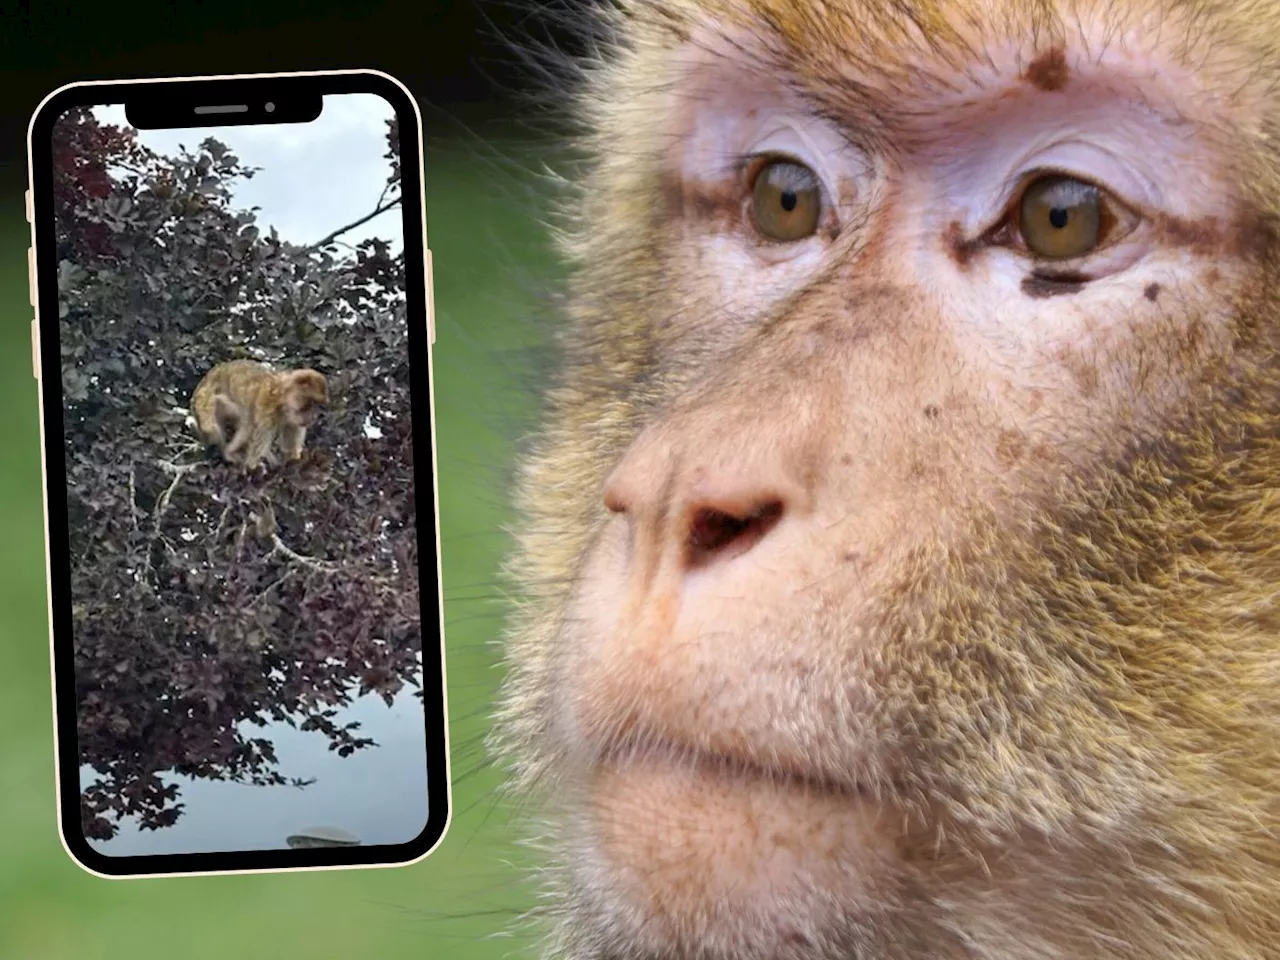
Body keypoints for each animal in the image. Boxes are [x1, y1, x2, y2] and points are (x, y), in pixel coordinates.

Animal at [192, 358, 330, 471]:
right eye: (311, 404)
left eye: (318, 406)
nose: (313, 416)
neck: (282, 399)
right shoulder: (267, 410)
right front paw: (252, 467)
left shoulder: (291, 419)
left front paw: (293, 459)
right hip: (206, 404)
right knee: (227, 425)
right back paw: (228, 453)